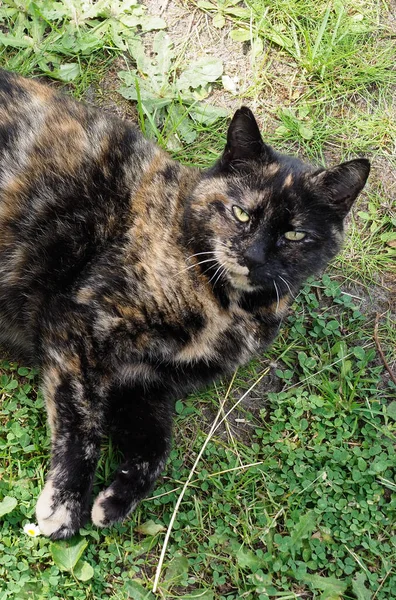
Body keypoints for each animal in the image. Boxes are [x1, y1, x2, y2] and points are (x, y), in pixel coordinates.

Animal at [0, 69, 372, 540]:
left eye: (294, 235)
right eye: (241, 213)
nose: (252, 257)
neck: (228, 307)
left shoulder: (147, 381)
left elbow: (158, 445)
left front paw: (117, 499)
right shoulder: (80, 325)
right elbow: (83, 423)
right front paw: (65, 504)